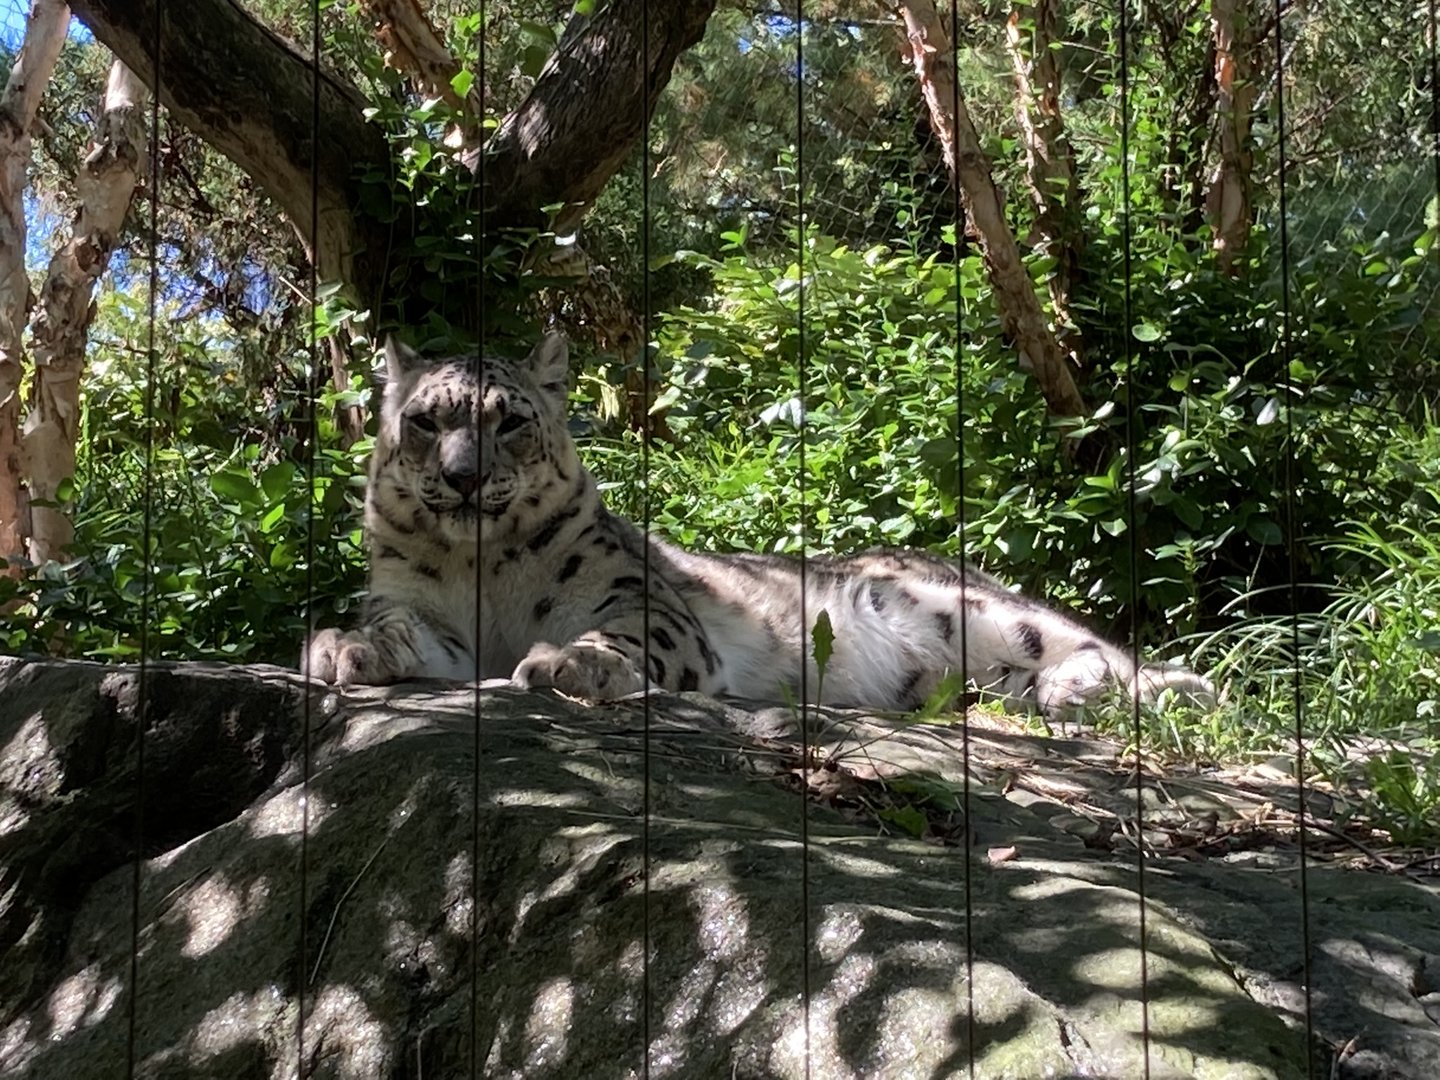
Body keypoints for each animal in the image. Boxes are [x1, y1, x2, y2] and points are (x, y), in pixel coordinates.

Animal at [304, 332, 1214, 718]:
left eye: (510, 421)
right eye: (427, 421)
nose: (463, 477)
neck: (482, 572)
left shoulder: (640, 601)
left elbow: (628, 635)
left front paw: (569, 662)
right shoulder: (428, 614)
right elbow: (404, 634)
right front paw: (345, 648)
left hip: (977, 608)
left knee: (1114, 652)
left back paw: (1130, 685)